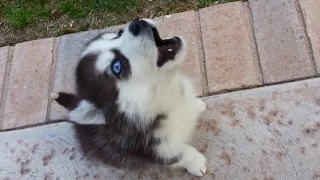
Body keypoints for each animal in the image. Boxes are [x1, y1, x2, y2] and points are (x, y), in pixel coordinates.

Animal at [52, 17, 208, 176]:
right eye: (117, 66)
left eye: (119, 33)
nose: (136, 24)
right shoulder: (158, 150)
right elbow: (182, 155)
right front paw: (197, 164)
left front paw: (196, 105)